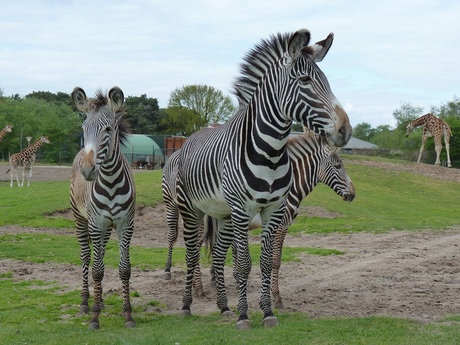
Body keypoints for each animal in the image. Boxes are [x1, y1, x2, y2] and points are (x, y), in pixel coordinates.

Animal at [69, 85, 136, 328]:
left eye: (108, 129)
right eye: (84, 129)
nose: (87, 170)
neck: (110, 182)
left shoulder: (126, 224)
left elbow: (124, 269)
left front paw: (128, 314)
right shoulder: (95, 223)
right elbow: (97, 271)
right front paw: (95, 317)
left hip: (106, 228)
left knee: (101, 255)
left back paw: (102, 300)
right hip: (81, 220)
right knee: (87, 257)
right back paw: (85, 302)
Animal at [174, 28, 350, 328]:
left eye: (328, 82)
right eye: (305, 80)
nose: (345, 130)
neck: (270, 153)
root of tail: (191, 137)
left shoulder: (273, 212)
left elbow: (266, 262)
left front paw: (267, 311)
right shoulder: (247, 212)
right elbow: (246, 264)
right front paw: (248, 314)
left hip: (222, 215)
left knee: (217, 256)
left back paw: (223, 307)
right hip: (191, 209)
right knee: (191, 252)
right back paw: (188, 303)